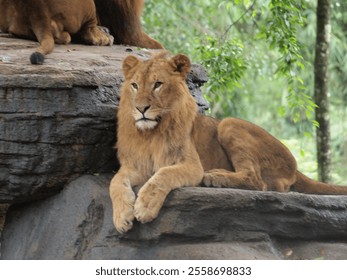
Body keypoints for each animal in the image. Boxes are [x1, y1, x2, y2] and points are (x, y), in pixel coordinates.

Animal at [111, 51, 347, 233]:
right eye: (134, 85)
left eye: (158, 84)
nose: (141, 108)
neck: (150, 134)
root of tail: (295, 166)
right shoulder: (135, 166)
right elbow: (114, 183)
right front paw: (122, 216)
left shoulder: (191, 165)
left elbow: (162, 175)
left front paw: (145, 205)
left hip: (228, 123)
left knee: (256, 181)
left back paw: (215, 177)